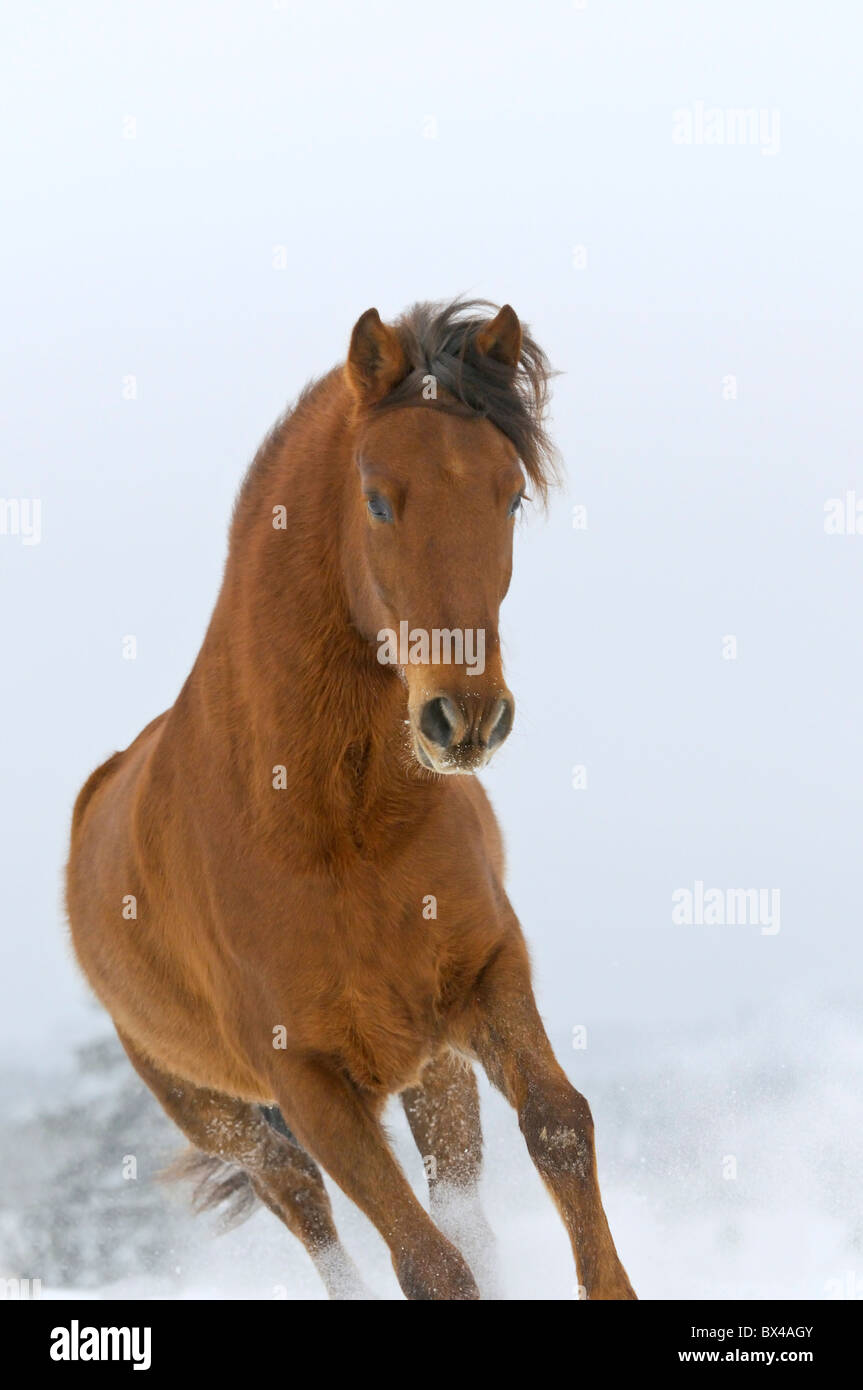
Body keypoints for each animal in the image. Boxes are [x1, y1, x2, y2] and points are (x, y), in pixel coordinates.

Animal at [66, 298, 636, 1300]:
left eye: (510, 495)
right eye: (376, 497)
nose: (466, 717)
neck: (330, 825)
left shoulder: (488, 976)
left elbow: (559, 1127)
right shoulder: (308, 1083)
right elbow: (428, 1264)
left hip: (429, 1065)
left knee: (460, 1197)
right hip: (223, 1114)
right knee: (308, 1211)